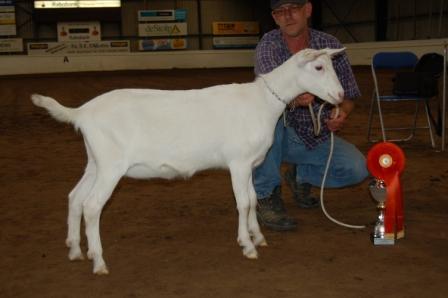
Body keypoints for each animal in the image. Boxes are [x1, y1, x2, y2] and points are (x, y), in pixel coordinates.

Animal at [31, 47, 344, 274]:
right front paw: (247, 245)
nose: (340, 95)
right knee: (92, 206)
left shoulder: (248, 165)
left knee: (75, 197)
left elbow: (254, 200)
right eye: (318, 67)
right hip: (111, 166)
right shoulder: (238, 163)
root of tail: (81, 112)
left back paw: (75, 250)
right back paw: (98, 261)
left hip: (96, 163)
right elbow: (243, 203)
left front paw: (258, 237)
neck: (262, 103)